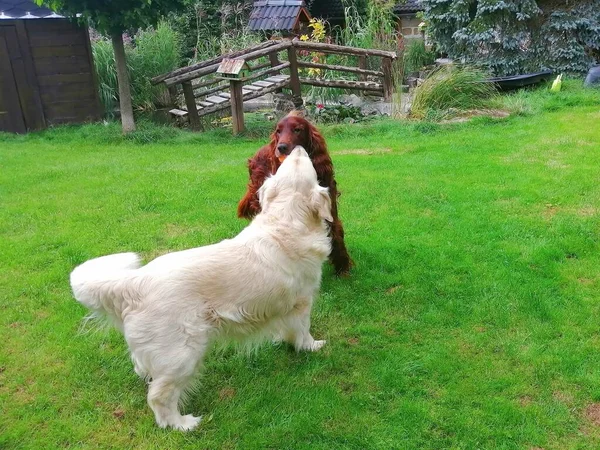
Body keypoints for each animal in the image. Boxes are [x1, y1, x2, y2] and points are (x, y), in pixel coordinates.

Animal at [71, 146, 332, 430]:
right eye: (304, 163)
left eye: (291, 163)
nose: (295, 148)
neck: (285, 221)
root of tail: (135, 281)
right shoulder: (302, 302)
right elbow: (302, 331)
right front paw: (312, 346)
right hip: (183, 353)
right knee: (159, 397)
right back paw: (182, 423)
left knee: (143, 369)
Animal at [238, 113, 352, 274]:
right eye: (278, 131)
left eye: (297, 129)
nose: (281, 147)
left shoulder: (329, 207)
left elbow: (336, 232)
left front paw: (343, 269)